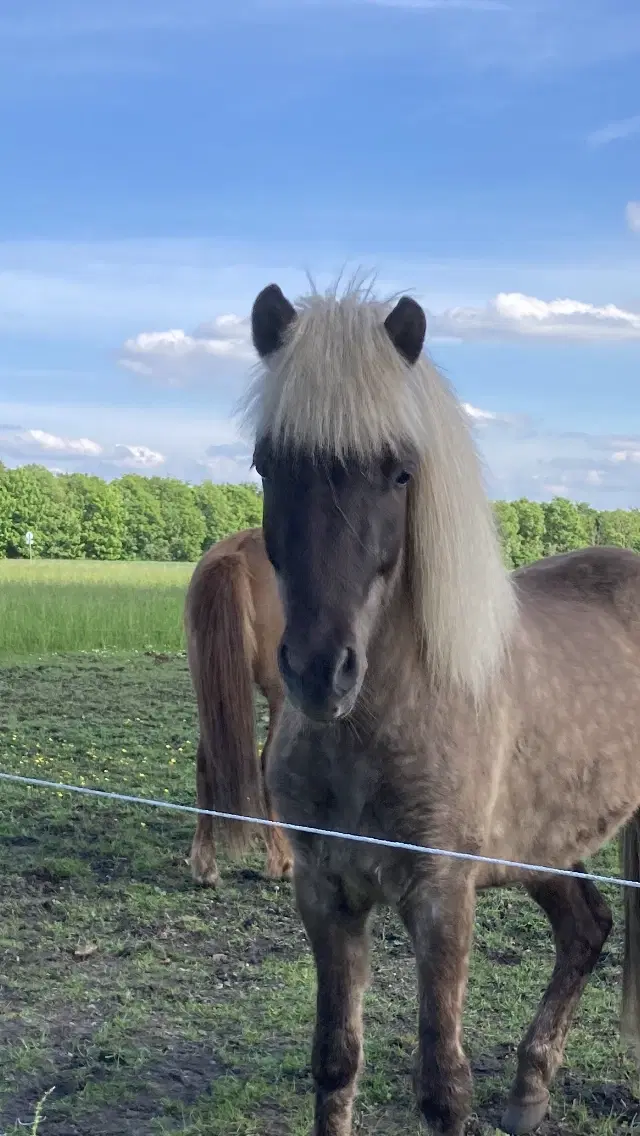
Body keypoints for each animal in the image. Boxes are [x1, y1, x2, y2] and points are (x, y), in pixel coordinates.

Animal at [184, 524, 291, 886]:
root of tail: (239, 550)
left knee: (206, 760)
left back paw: (205, 866)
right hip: (282, 697)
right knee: (267, 762)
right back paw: (281, 860)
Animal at [205, 277, 640, 1136]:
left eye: (400, 472)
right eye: (269, 464)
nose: (321, 672)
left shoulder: (442, 899)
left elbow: (442, 1084)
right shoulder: (328, 894)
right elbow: (336, 1060)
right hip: (542, 842)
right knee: (586, 928)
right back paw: (529, 1092)